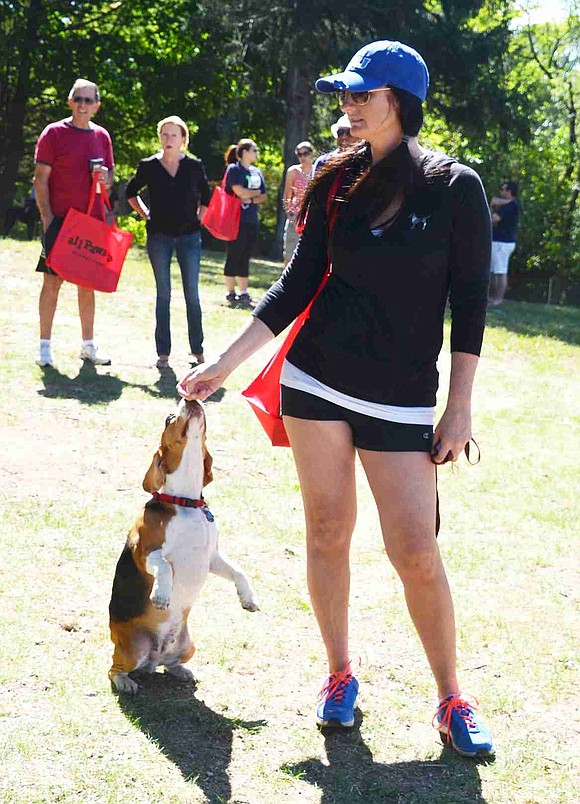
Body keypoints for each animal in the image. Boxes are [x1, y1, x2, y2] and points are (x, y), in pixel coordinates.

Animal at [109, 398, 258, 696]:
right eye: (169, 418)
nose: (191, 398)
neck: (186, 502)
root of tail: (153, 659)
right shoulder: (145, 552)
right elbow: (165, 565)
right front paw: (161, 595)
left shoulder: (212, 558)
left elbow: (239, 571)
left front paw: (247, 598)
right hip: (132, 648)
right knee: (114, 668)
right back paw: (125, 681)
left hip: (188, 645)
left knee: (170, 663)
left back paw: (181, 670)